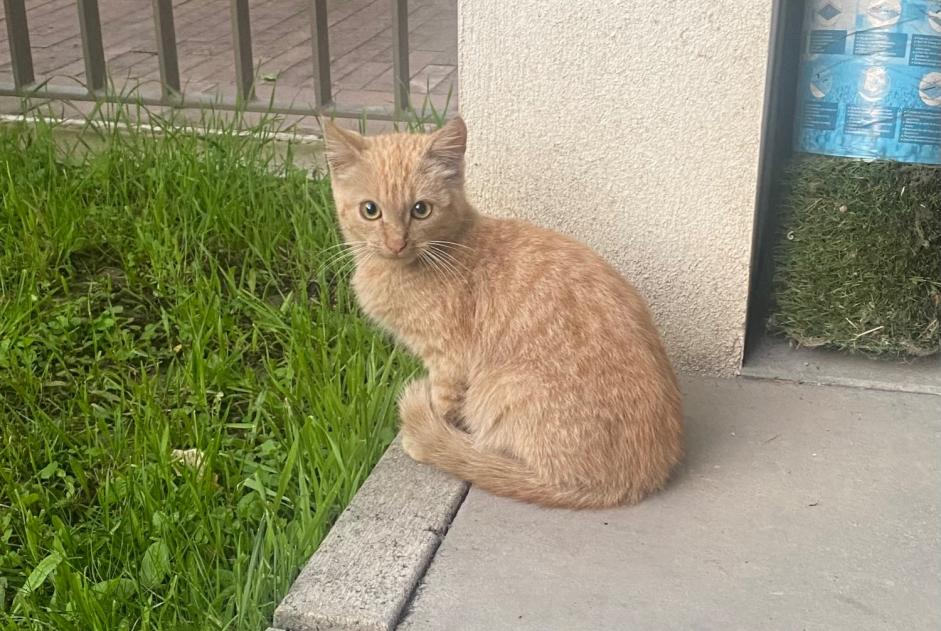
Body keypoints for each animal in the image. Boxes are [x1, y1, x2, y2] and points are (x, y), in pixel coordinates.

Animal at [324, 118, 684, 512]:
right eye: (370, 210)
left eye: (421, 210)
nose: (396, 243)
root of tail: (634, 482)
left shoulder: (448, 359)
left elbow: (443, 402)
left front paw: (434, 430)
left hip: (502, 386)